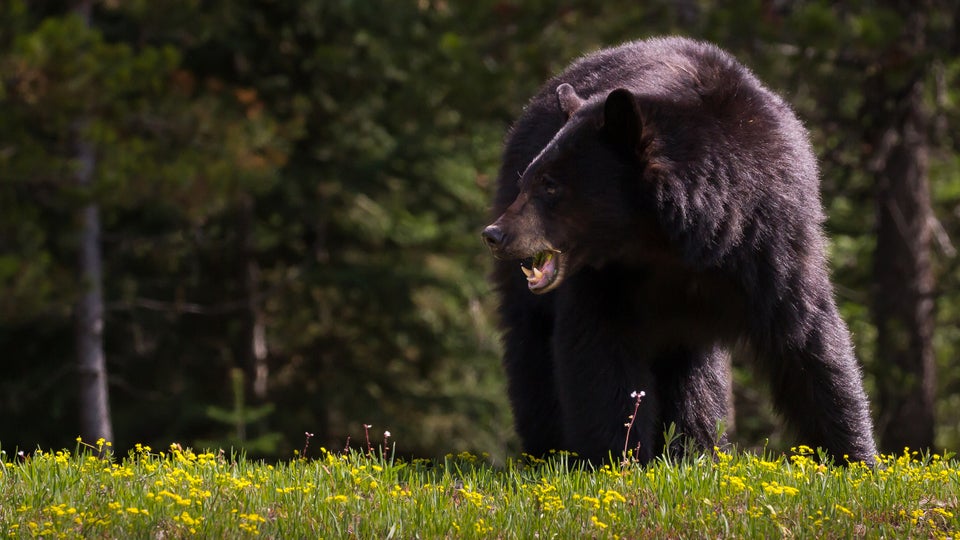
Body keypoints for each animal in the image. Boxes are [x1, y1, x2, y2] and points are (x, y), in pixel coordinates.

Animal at [480, 35, 876, 464]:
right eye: (530, 179)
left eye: (551, 185)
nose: (496, 234)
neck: (670, 240)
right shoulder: (605, 279)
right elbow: (599, 351)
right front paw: (616, 458)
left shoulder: (770, 241)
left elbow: (809, 342)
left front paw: (857, 459)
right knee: (532, 351)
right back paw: (548, 451)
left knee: (695, 379)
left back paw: (695, 448)